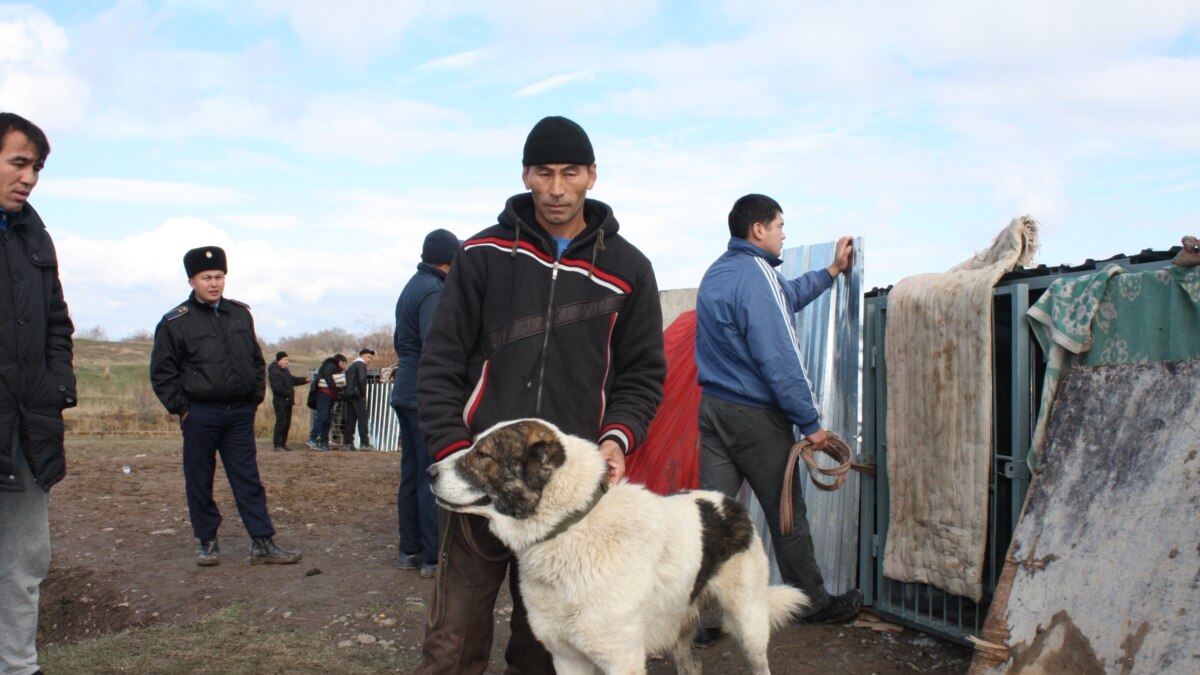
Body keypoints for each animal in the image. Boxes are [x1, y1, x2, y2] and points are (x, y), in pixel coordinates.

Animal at [424, 417, 806, 667]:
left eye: (483, 455)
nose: (429, 472)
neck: (570, 527)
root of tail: (728, 502)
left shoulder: (619, 658)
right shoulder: (567, 657)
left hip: (749, 626)